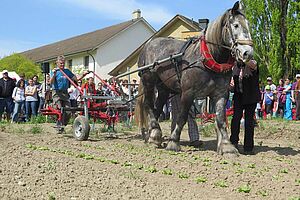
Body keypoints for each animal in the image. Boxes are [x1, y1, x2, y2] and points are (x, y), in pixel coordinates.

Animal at [135, 0, 253, 155]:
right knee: (148, 105)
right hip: (149, 81)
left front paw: (227, 146)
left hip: (163, 87)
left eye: (248, 25)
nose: (248, 53)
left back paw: (153, 136)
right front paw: (173, 142)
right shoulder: (188, 93)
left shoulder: (221, 94)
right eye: (236, 25)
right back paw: (155, 133)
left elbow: (221, 119)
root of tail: (147, 45)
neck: (207, 59)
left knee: (157, 108)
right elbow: (182, 117)